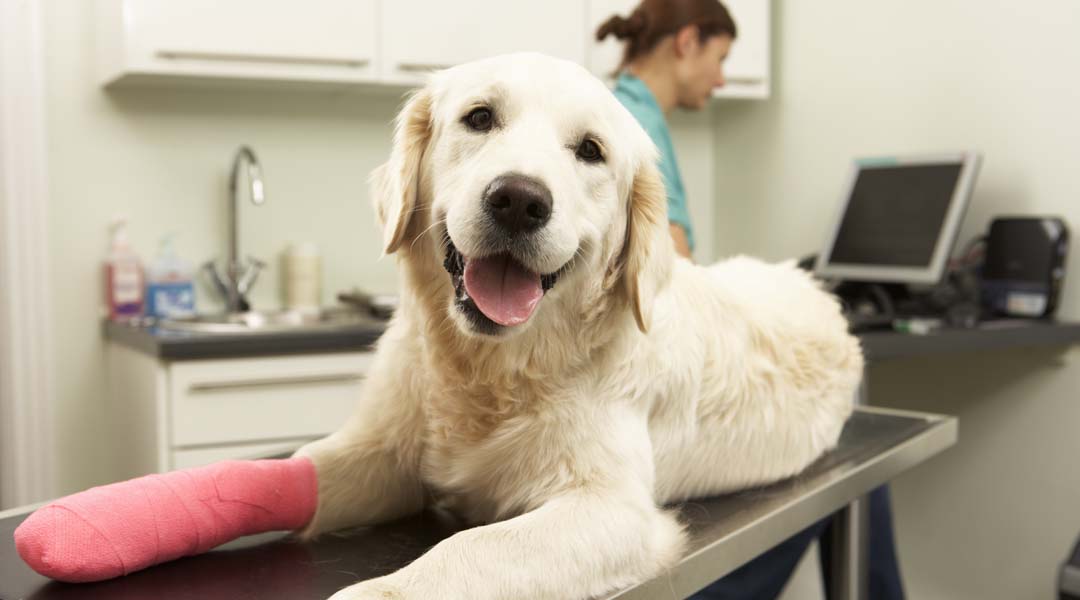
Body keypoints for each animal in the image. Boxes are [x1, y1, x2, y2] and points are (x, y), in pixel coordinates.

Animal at [293, 52, 859, 600]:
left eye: (591, 150)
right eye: (479, 117)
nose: (519, 200)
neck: (492, 369)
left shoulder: (614, 510)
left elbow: (468, 549)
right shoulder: (385, 452)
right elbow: (306, 466)